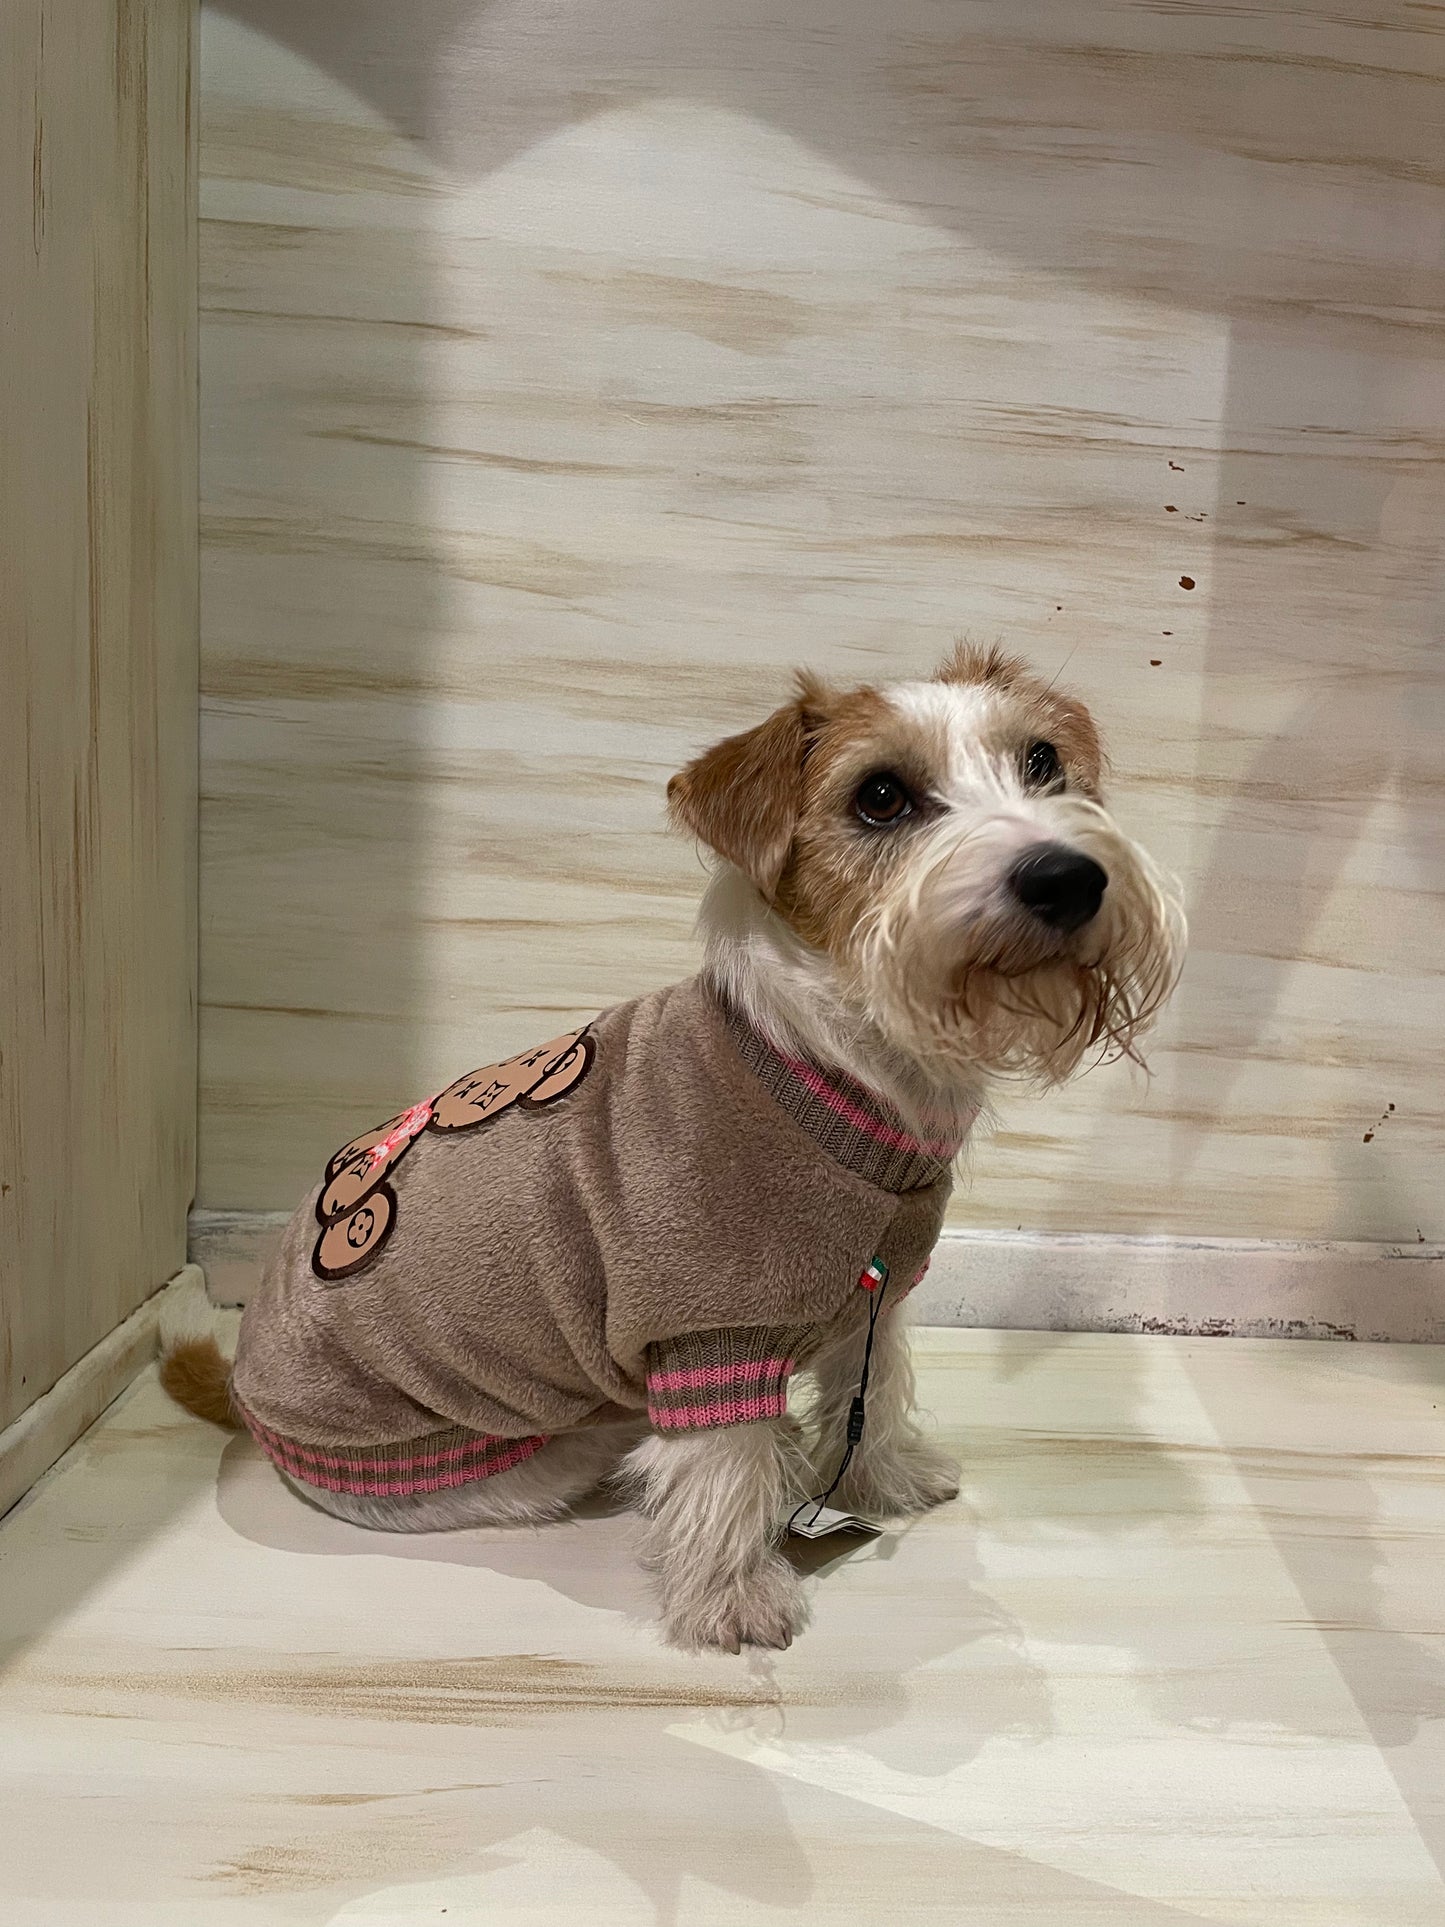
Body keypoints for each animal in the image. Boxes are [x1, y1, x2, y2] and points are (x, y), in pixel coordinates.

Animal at [162, 644, 1183, 1654]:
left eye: (1041, 761)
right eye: (881, 796)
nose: (1065, 877)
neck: (837, 1060)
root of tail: (246, 1398)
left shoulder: (879, 1291)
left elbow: (875, 1385)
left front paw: (880, 1480)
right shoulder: (705, 1329)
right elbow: (721, 1465)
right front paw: (734, 1597)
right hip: (542, 1438)